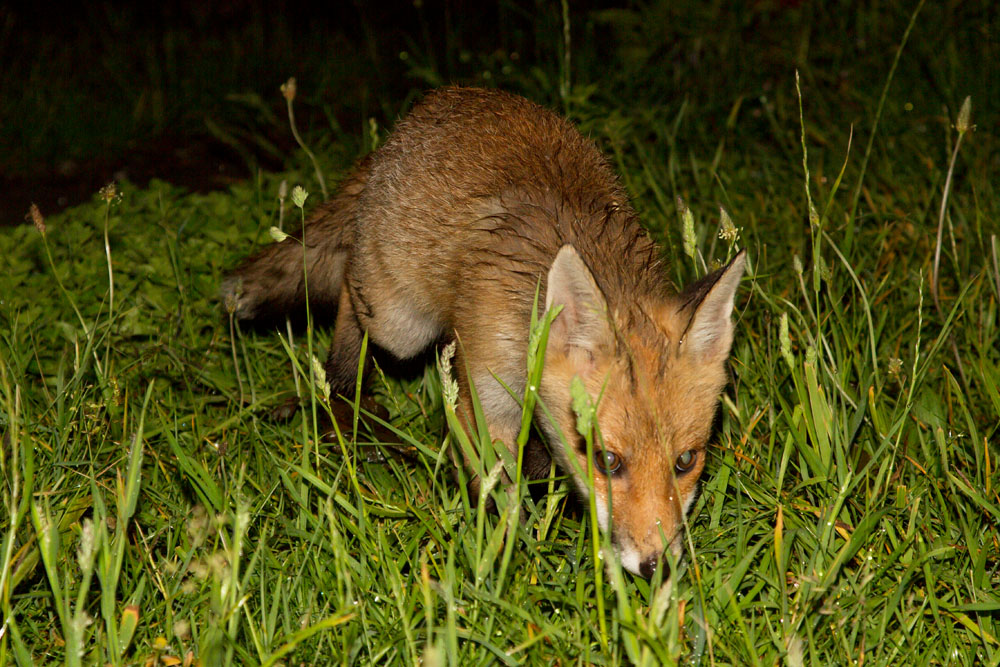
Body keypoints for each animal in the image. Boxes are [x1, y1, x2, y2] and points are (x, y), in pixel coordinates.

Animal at [223, 87, 745, 578]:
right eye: (607, 460)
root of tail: (437, 101)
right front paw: (504, 560)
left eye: (685, 461)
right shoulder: (484, 398)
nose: (657, 567)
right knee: (351, 292)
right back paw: (347, 403)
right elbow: (498, 490)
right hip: (398, 323)